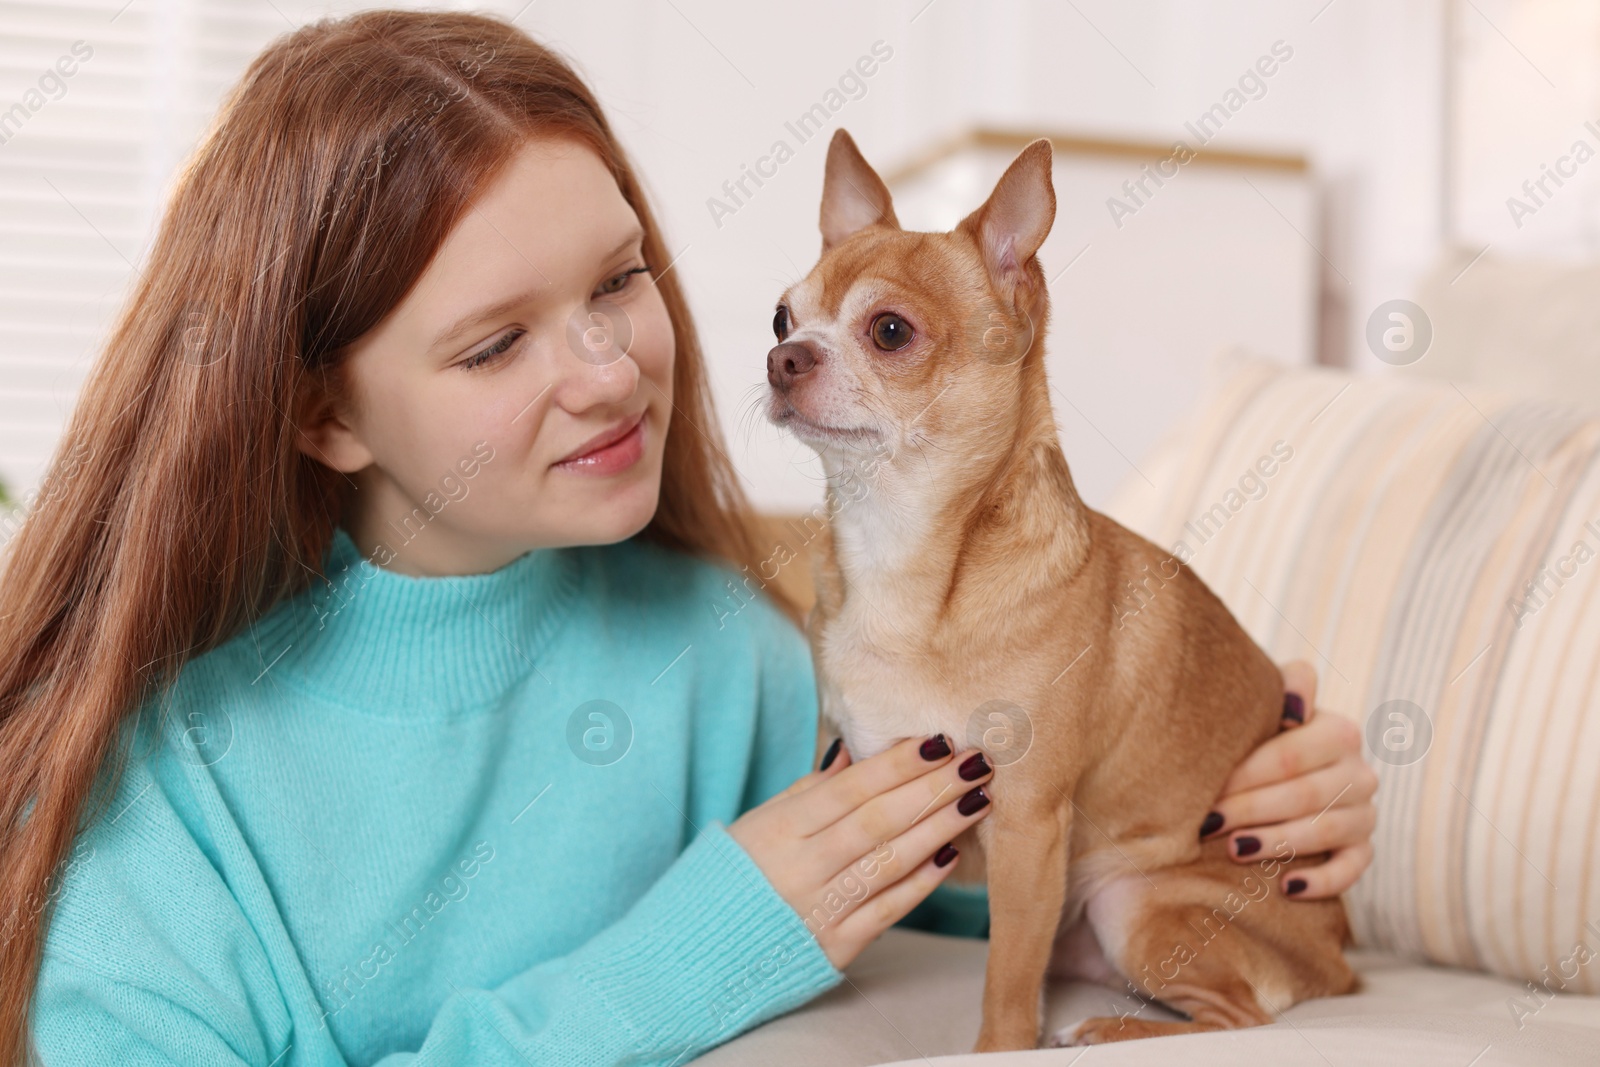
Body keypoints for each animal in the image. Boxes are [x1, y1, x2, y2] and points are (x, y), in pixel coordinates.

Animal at [761, 127, 1350, 1049]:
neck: (899, 551)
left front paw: (998, 1050)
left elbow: (1007, 980)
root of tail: (1346, 959)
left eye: (889, 330)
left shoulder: (1029, 824)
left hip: (1136, 900)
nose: (782, 357)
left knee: (1240, 1020)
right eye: (783, 318)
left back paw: (1112, 1031)